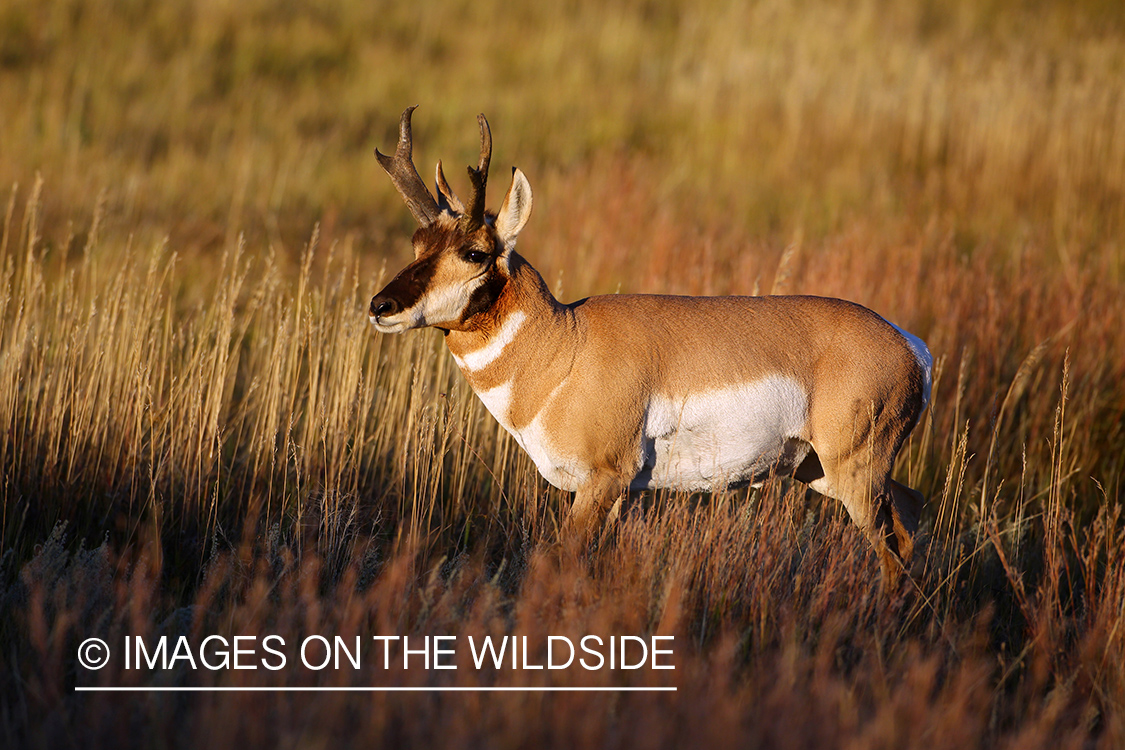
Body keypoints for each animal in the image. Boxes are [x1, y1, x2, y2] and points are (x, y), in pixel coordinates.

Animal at [369, 106, 931, 584]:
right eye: (418, 244)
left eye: (474, 252)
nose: (380, 306)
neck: (564, 344)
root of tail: (908, 345)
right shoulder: (617, 494)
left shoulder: (603, 481)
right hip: (824, 471)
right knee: (910, 516)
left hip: (854, 470)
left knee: (893, 551)